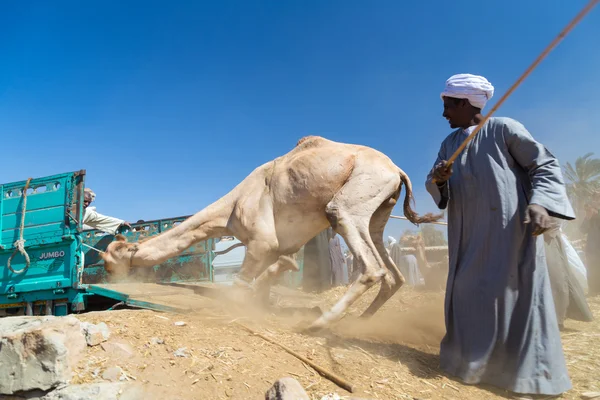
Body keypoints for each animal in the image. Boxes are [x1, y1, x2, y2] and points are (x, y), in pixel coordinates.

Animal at [101, 136, 442, 330]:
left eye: (108, 260)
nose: (113, 278)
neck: (229, 210)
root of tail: (397, 171)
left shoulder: (261, 242)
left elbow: (242, 282)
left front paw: (237, 307)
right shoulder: (279, 246)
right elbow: (276, 271)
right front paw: (263, 302)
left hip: (351, 201)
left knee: (371, 266)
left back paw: (319, 323)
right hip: (378, 212)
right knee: (394, 275)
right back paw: (359, 323)